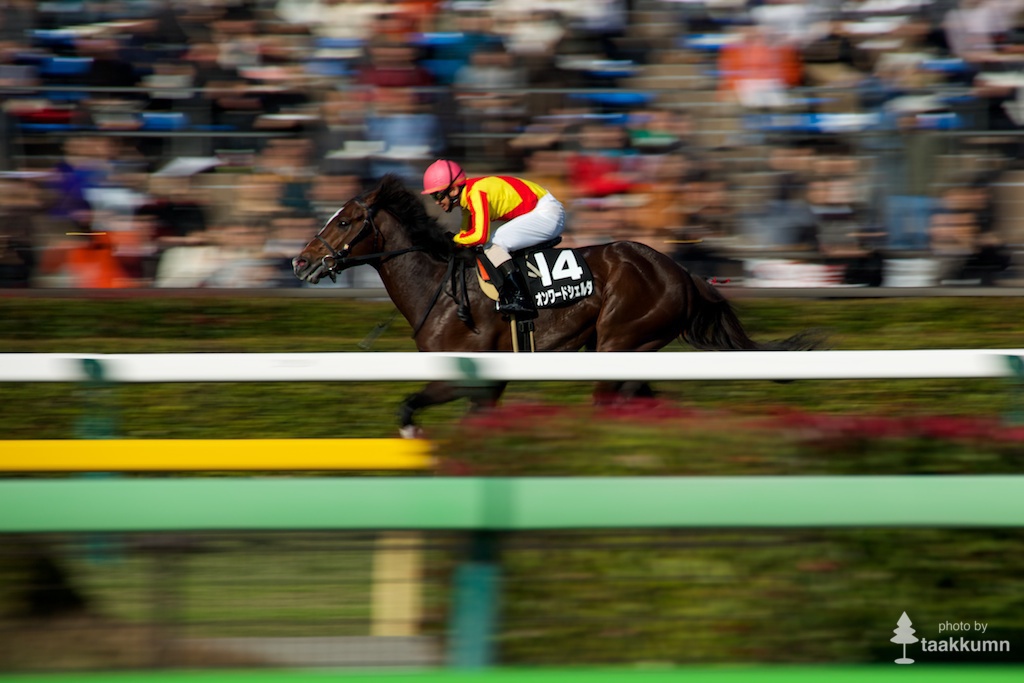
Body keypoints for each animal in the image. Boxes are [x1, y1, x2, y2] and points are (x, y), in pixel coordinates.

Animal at [294, 174, 823, 436]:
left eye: (345, 222)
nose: (301, 261)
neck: (438, 289)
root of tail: (681, 272)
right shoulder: (488, 384)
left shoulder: (467, 373)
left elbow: (409, 408)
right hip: (632, 350)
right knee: (643, 400)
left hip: (618, 342)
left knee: (610, 402)